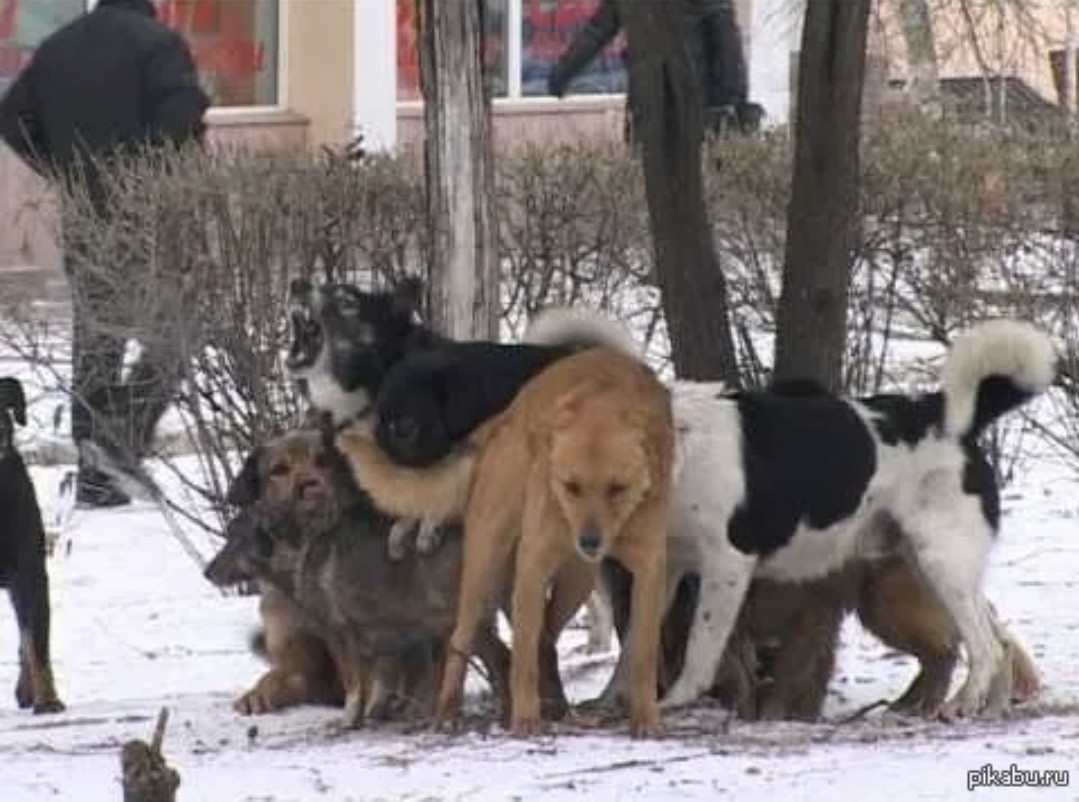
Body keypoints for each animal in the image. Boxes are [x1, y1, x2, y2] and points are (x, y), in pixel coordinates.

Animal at [336, 347, 673, 738]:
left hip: (577, 580)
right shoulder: (534, 562)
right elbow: (522, 656)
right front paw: (525, 719)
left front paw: (646, 718)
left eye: (617, 488)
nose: (589, 541)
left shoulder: (649, 570)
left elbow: (643, 654)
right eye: (570, 486)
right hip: (486, 562)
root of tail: (501, 419)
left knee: (546, 638)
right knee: (469, 637)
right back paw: (451, 711)